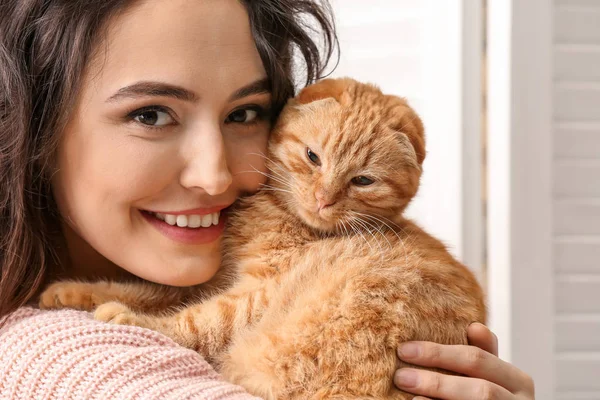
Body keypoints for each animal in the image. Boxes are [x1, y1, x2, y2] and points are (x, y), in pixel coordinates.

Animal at [41, 79, 482, 400]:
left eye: (362, 180)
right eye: (312, 157)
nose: (323, 199)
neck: (280, 214)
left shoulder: (258, 291)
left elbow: (200, 320)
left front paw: (133, 321)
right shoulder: (213, 279)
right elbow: (146, 289)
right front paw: (69, 291)